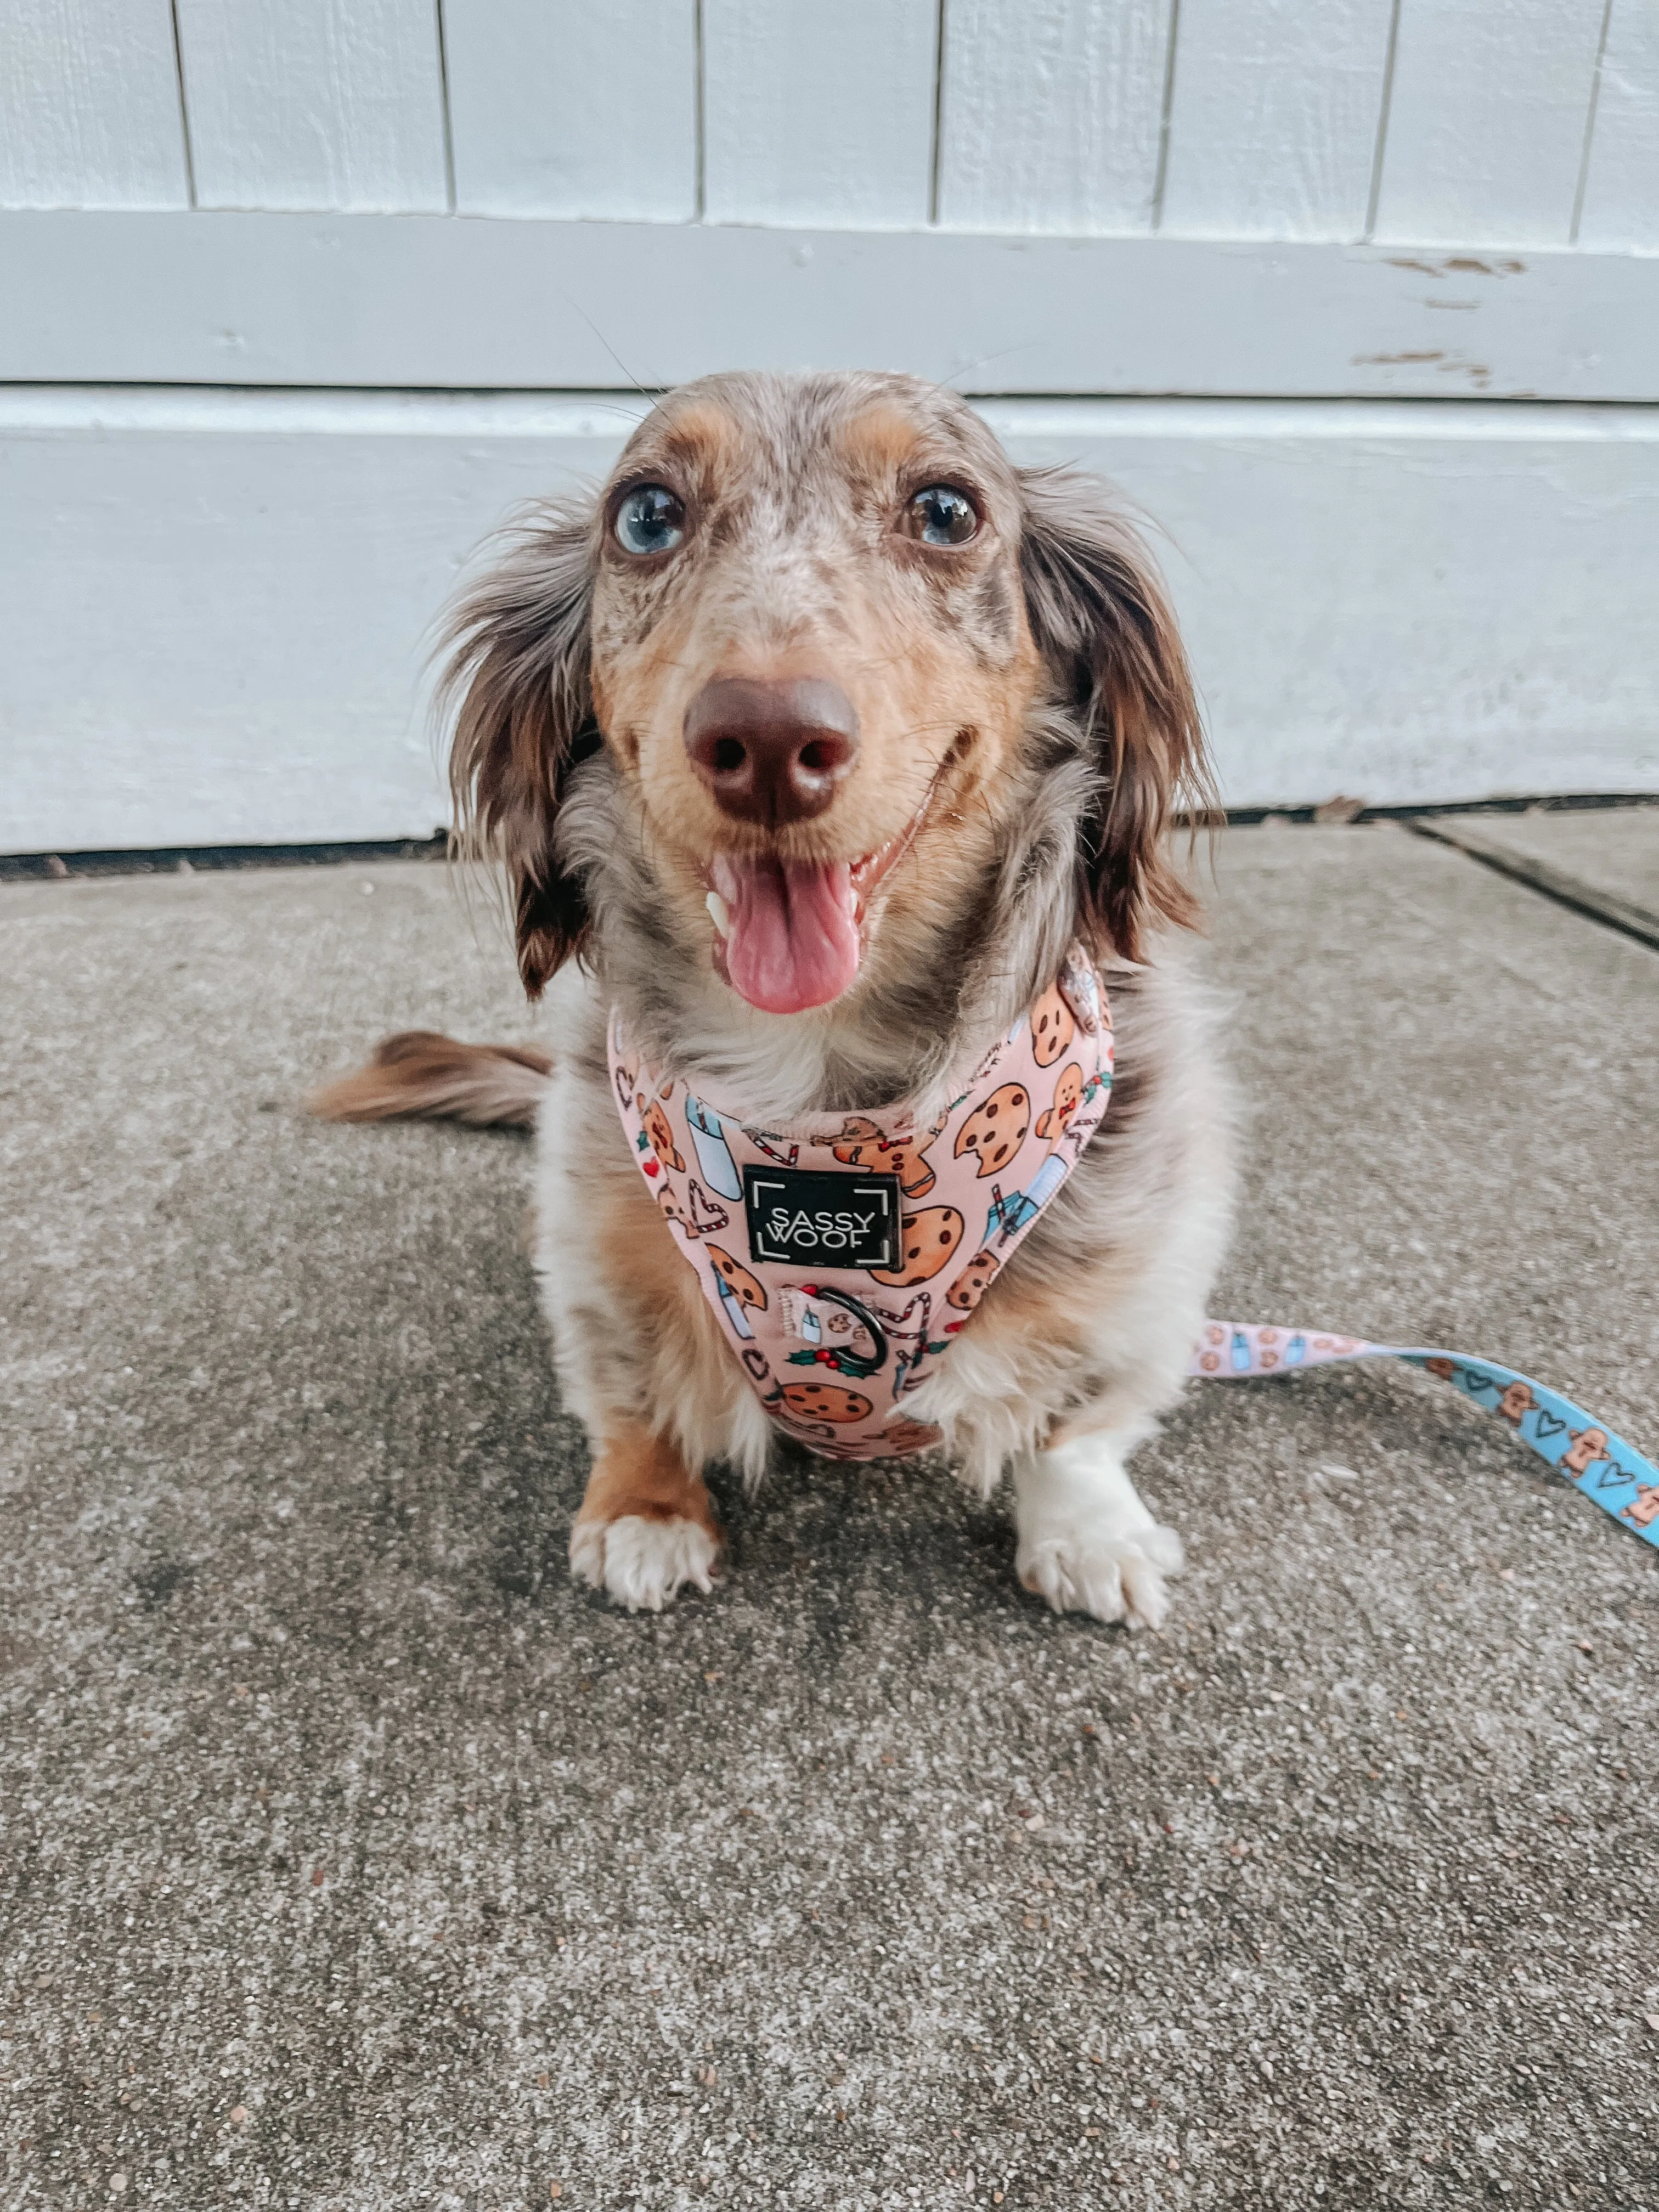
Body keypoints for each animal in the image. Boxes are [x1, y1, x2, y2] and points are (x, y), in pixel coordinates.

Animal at [318, 376, 1238, 1628]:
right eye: (646, 514)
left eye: (945, 510)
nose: (763, 740)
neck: (819, 1086)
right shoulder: (597, 1249)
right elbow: (633, 1391)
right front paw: (645, 1508)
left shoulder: (1142, 1256)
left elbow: (1076, 1423)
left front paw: (1088, 1529)